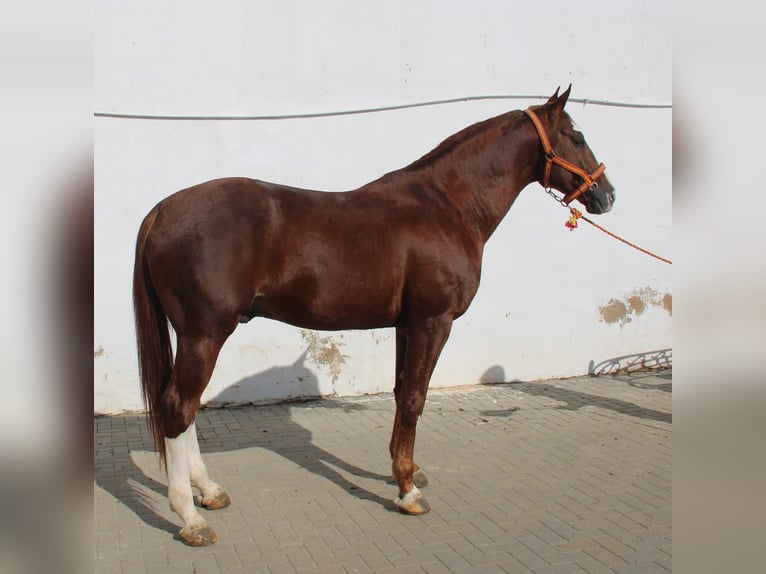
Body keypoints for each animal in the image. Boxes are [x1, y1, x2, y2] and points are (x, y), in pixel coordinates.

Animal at [133, 85, 614, 546]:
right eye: (576, 136)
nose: (607, 195)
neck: (447, 207)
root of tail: (162, 209)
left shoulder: (407, 325)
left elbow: (402, 392)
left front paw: (408, 470)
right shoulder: (433, 322)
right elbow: (415, 397)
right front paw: (408, 491)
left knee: (186, 409)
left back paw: (209, 491)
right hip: (205, 334)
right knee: (179, 407)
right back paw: (191, 518)